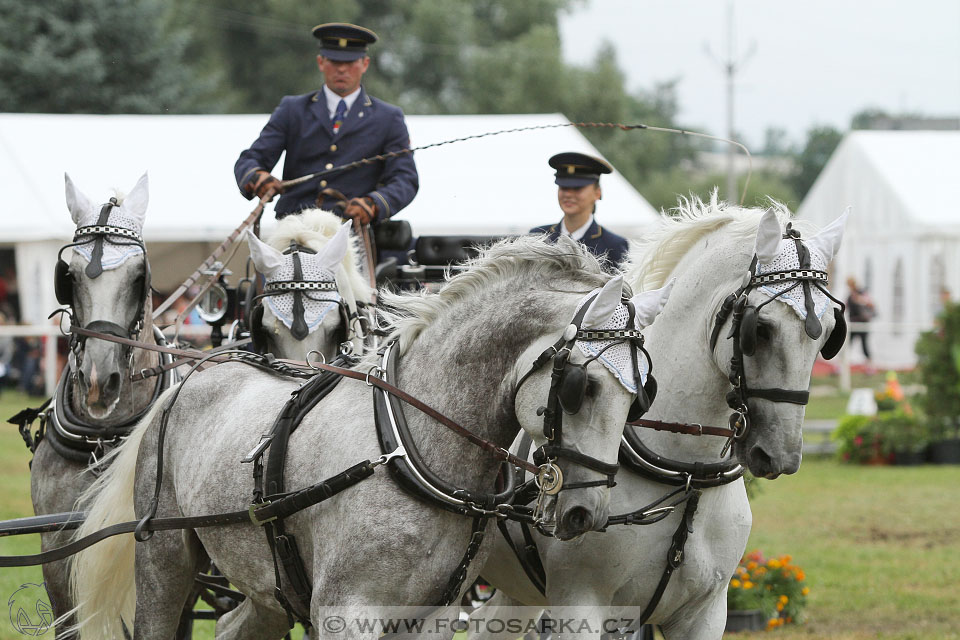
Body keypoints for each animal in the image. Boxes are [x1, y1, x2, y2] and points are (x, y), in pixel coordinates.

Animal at [67, 236, 672, 640]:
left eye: (643, 393)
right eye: (581, 386)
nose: (586, 514)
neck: (410, 448)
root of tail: (194, 372)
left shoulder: (433, 616)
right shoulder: (345, 611)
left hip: (266, 584)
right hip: (165, 561)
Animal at [476, 198, 844, 636]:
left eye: (828, 335)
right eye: (762, 329)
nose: (781, 455)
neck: (686, 472)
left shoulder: (705, 613)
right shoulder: (580, 604)